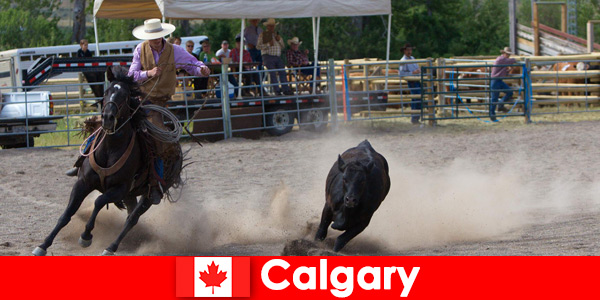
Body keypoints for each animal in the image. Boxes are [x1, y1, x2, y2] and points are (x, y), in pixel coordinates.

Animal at [32, 67, 182, 255]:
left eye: (125, 95)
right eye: (106, 92)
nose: (108, 118)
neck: (110, 148)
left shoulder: (119, 188)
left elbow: (98, 202)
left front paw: (86, 236)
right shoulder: (83, 183)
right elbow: (67, 214)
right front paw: (42, 245)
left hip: (148, 195)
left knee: (132, 219)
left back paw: (110, 247)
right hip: (130, 195)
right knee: (130, 215)